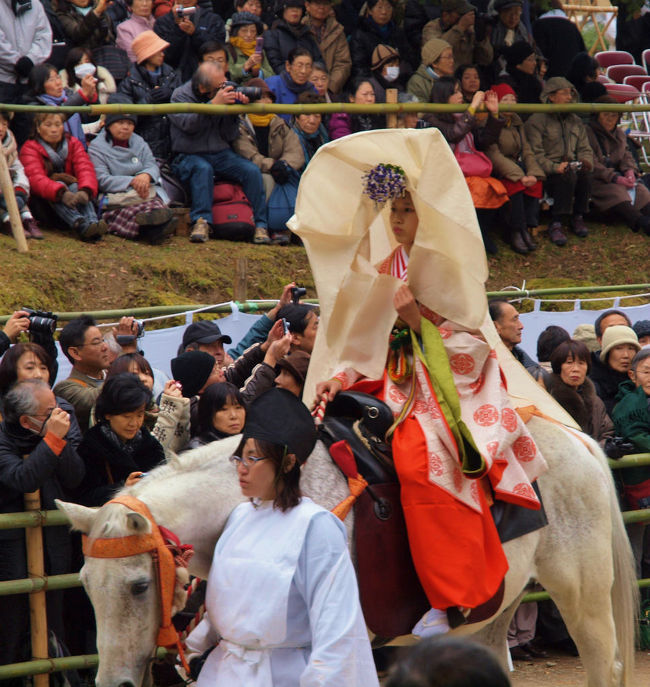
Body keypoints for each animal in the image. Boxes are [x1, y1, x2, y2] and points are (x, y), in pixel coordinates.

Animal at [57, 420, 636, 687]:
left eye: (138, 586)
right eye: (85, 588)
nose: (114, 684)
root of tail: (577, 439)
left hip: (583, 595)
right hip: (490, 614)